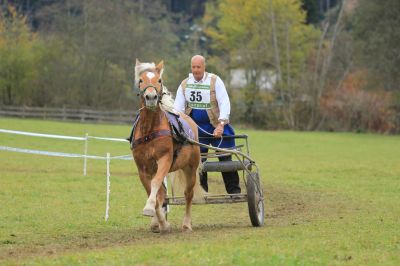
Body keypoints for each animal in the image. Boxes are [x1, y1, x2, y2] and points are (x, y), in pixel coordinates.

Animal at [130, 59, 203, 233]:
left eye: (159, 80)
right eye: (141, 80)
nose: (151, 97)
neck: (149, 130)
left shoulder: (164, 160)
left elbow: (155, 185)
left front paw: (150, 209)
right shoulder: (142, 168)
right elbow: (154, 193)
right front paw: (160, 222)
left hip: (190, 168)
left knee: (188, 194)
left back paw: (187, 224)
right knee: (162, 194)